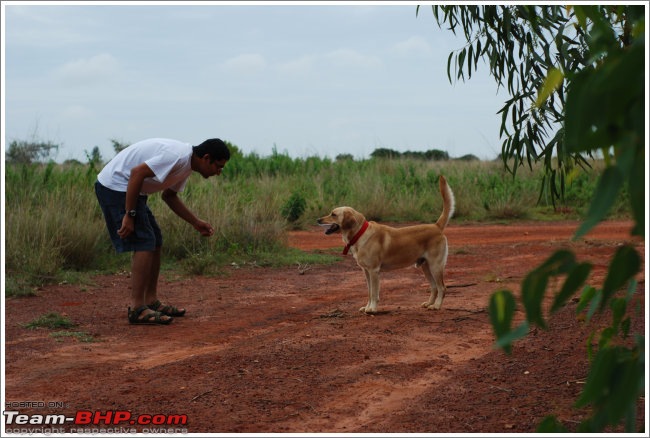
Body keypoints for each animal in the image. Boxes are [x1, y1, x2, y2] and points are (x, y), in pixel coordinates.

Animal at [316, 176, 454, 314]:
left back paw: (436, 306)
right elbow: (369, 292)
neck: (360, 234)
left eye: (333, 214)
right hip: (425, 267)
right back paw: (429, 303)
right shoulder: (366, 271)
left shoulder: (374, 271)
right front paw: (367, 307)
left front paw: (372, 309)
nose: (317, 220)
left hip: (435, 266)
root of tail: (436, 226)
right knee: (434, 287)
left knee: (442, 287)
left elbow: (374, 293)